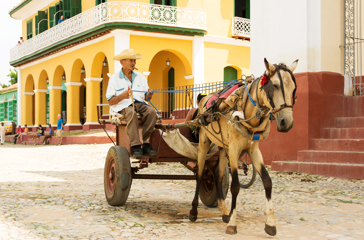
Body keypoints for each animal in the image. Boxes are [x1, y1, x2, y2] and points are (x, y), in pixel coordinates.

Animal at [189, 58, 298, 236]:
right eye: (274, 85)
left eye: (294, 89)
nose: (286, 122)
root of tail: (203, 100)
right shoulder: (234, 150)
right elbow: (235, 186)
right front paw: (232, 224)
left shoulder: (253, 150)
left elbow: (267, 181)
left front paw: (270, 223)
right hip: (205, 143)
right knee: (199, 173)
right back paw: (193, 212)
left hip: (223, 147)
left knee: (218, 173)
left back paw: (224, 210)